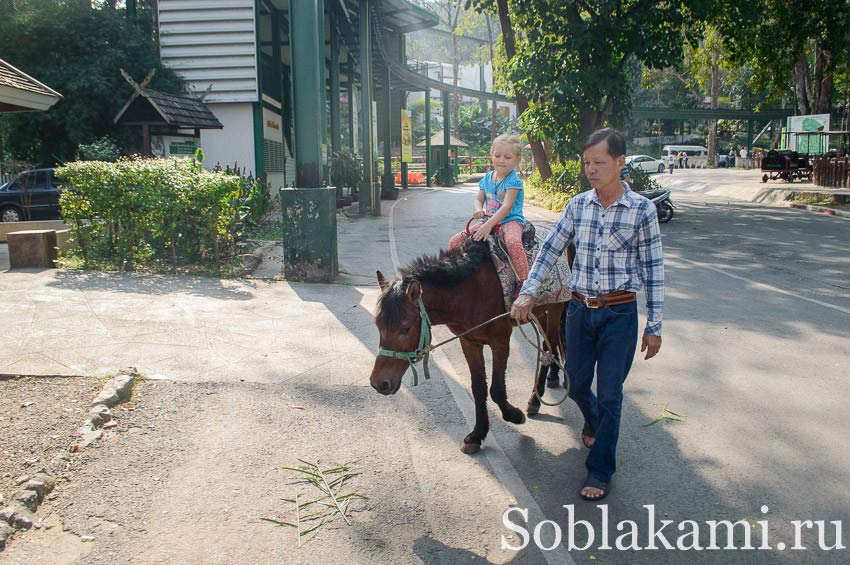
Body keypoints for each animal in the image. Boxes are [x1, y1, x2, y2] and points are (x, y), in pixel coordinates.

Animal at [368, 239, 568, 454]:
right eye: (378, 324)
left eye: (405, 329)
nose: (379, 383)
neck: (471, 292)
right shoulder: (469, 342)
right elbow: (478, 388)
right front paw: (477, 435)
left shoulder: (500, 341)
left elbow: (497, 390)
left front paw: (514, 415)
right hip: (540, 313)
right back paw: (553, 378)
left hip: (555, 309)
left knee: (549, 347)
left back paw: (535, 399)